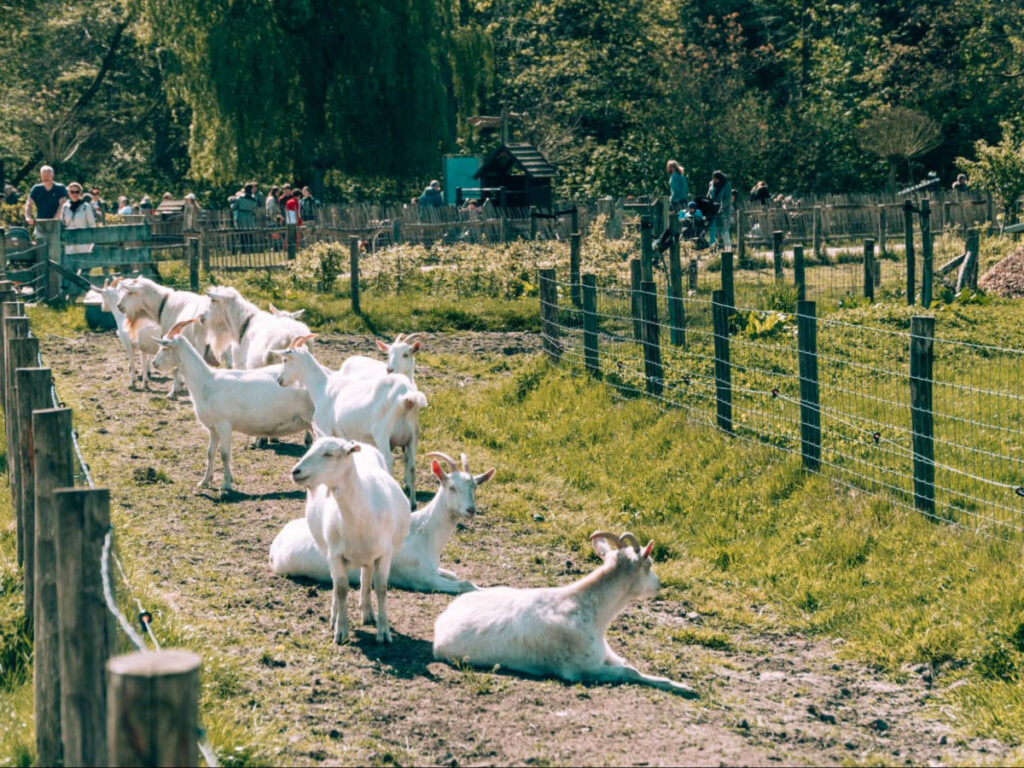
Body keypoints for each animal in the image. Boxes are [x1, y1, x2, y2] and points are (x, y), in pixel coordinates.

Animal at [153, 319, 313, 491]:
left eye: (164, 347)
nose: (154, 363)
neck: (206, 381)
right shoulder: (213, 428)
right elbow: (210, 453)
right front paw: (205, 481)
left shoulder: (224, 425)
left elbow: (224, 454)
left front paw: (226, 485)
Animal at [269, 450, 495, 592]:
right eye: (452, 487)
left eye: (474, 487)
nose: (470, 510)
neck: (423, 533)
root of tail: (276, 543)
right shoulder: (421, 579)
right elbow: (464, 584)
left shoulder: (432, 570)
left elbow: (455, 575)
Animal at [275, 337, 427, 505]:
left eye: (285, 359)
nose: (279, 380)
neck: (323, 386)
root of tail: (407, 397)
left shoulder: (324, 430)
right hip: (412, 436)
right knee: (412, 466)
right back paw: (413, 503)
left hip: (383, 434)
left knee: (389, 460)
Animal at [290, 432, 411, 644]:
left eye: (328, 454)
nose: (295, 471)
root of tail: (361, 444)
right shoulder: (335, 554)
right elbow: (341, 588)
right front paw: (341, 629)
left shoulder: (385, 553)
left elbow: (381, 588)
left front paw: (384, 630)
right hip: (328, 549)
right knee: (339, 581)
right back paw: (335, 615)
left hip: (370, 552)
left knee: (366, 574)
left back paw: (367, 612)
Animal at [433, 531, 699, 697]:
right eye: (649, 564)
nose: (659, 585)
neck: (587, 609)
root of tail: (442, 621)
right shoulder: (582, 669)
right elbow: (629, 671)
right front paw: (685, 688)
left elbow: (626, 663)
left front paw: (681, 684)